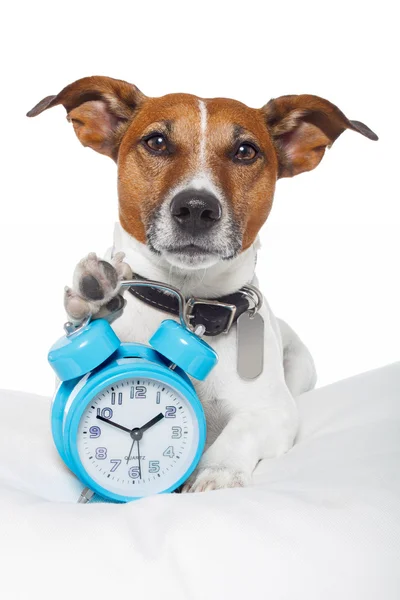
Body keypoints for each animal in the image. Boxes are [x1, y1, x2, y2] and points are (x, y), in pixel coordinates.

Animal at [28, 76, 378, 492]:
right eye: (156, 142)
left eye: (245, 151)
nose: (196, 208)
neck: (189, 304)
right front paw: (97, 295)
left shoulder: (276, 411)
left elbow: (241, 429)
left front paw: (216, 471)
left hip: (300, 366)